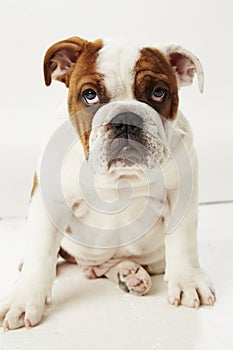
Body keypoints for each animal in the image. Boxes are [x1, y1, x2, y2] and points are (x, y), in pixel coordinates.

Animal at [0, 37, 216, 330]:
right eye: (90, 95)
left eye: (159, 92)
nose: (126, 119)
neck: (121, 179)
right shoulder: (49, 200)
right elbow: (40, 251)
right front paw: (24, 297)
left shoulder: (180, 194)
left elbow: (183, 242)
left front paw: (188, 280)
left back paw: (128, 273)